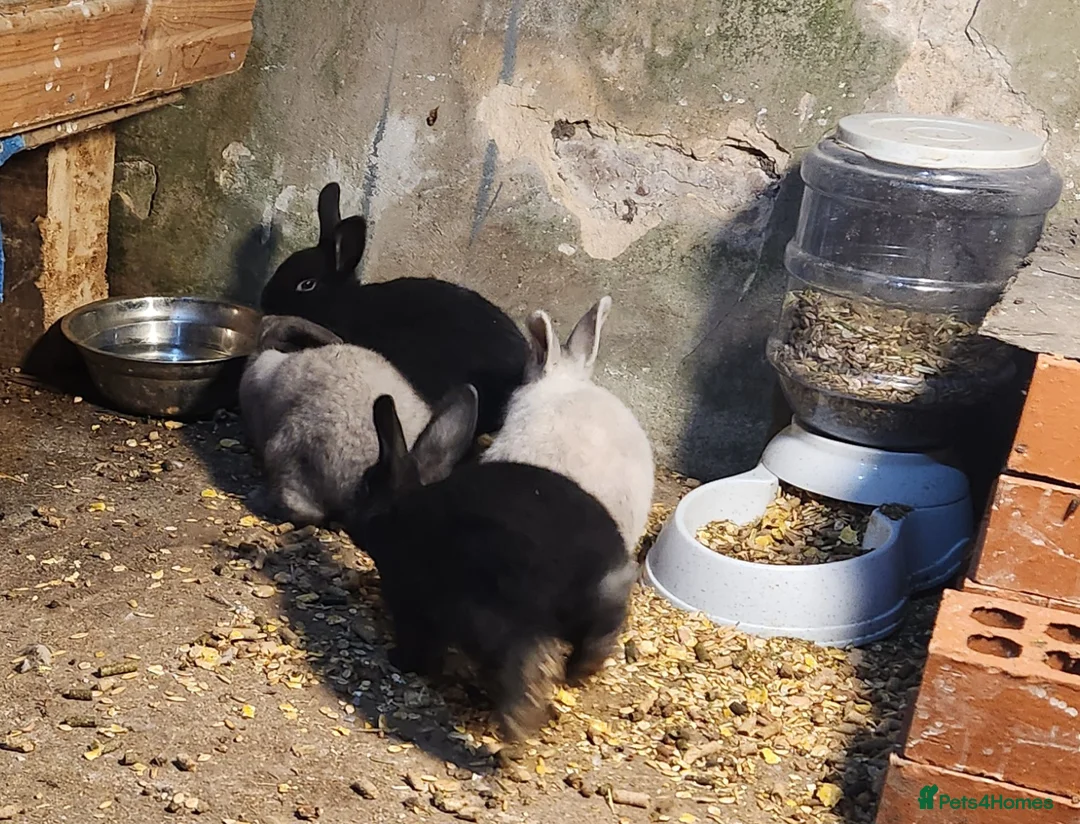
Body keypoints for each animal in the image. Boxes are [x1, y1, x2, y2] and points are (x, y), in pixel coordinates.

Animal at [347, 384, 638, 742]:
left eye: (364, 487)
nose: (347, 516)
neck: (398, 508)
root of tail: (591, 575)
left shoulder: (410, 605)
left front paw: (398, 660)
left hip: (494, 619)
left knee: (525, 665)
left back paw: (518, 721)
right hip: (597, 610)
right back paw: (577, 674)